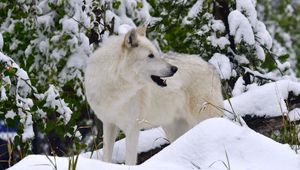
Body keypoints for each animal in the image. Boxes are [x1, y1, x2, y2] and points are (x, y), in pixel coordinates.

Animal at [84, 27, 223, 165]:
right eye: (150, 55)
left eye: (156, 53)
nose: (174, 69)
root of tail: (210, 66)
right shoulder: (108, 124)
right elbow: (106, 158)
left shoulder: (132, 129)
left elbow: (130, 160)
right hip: (174, 129)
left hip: (203, 117)